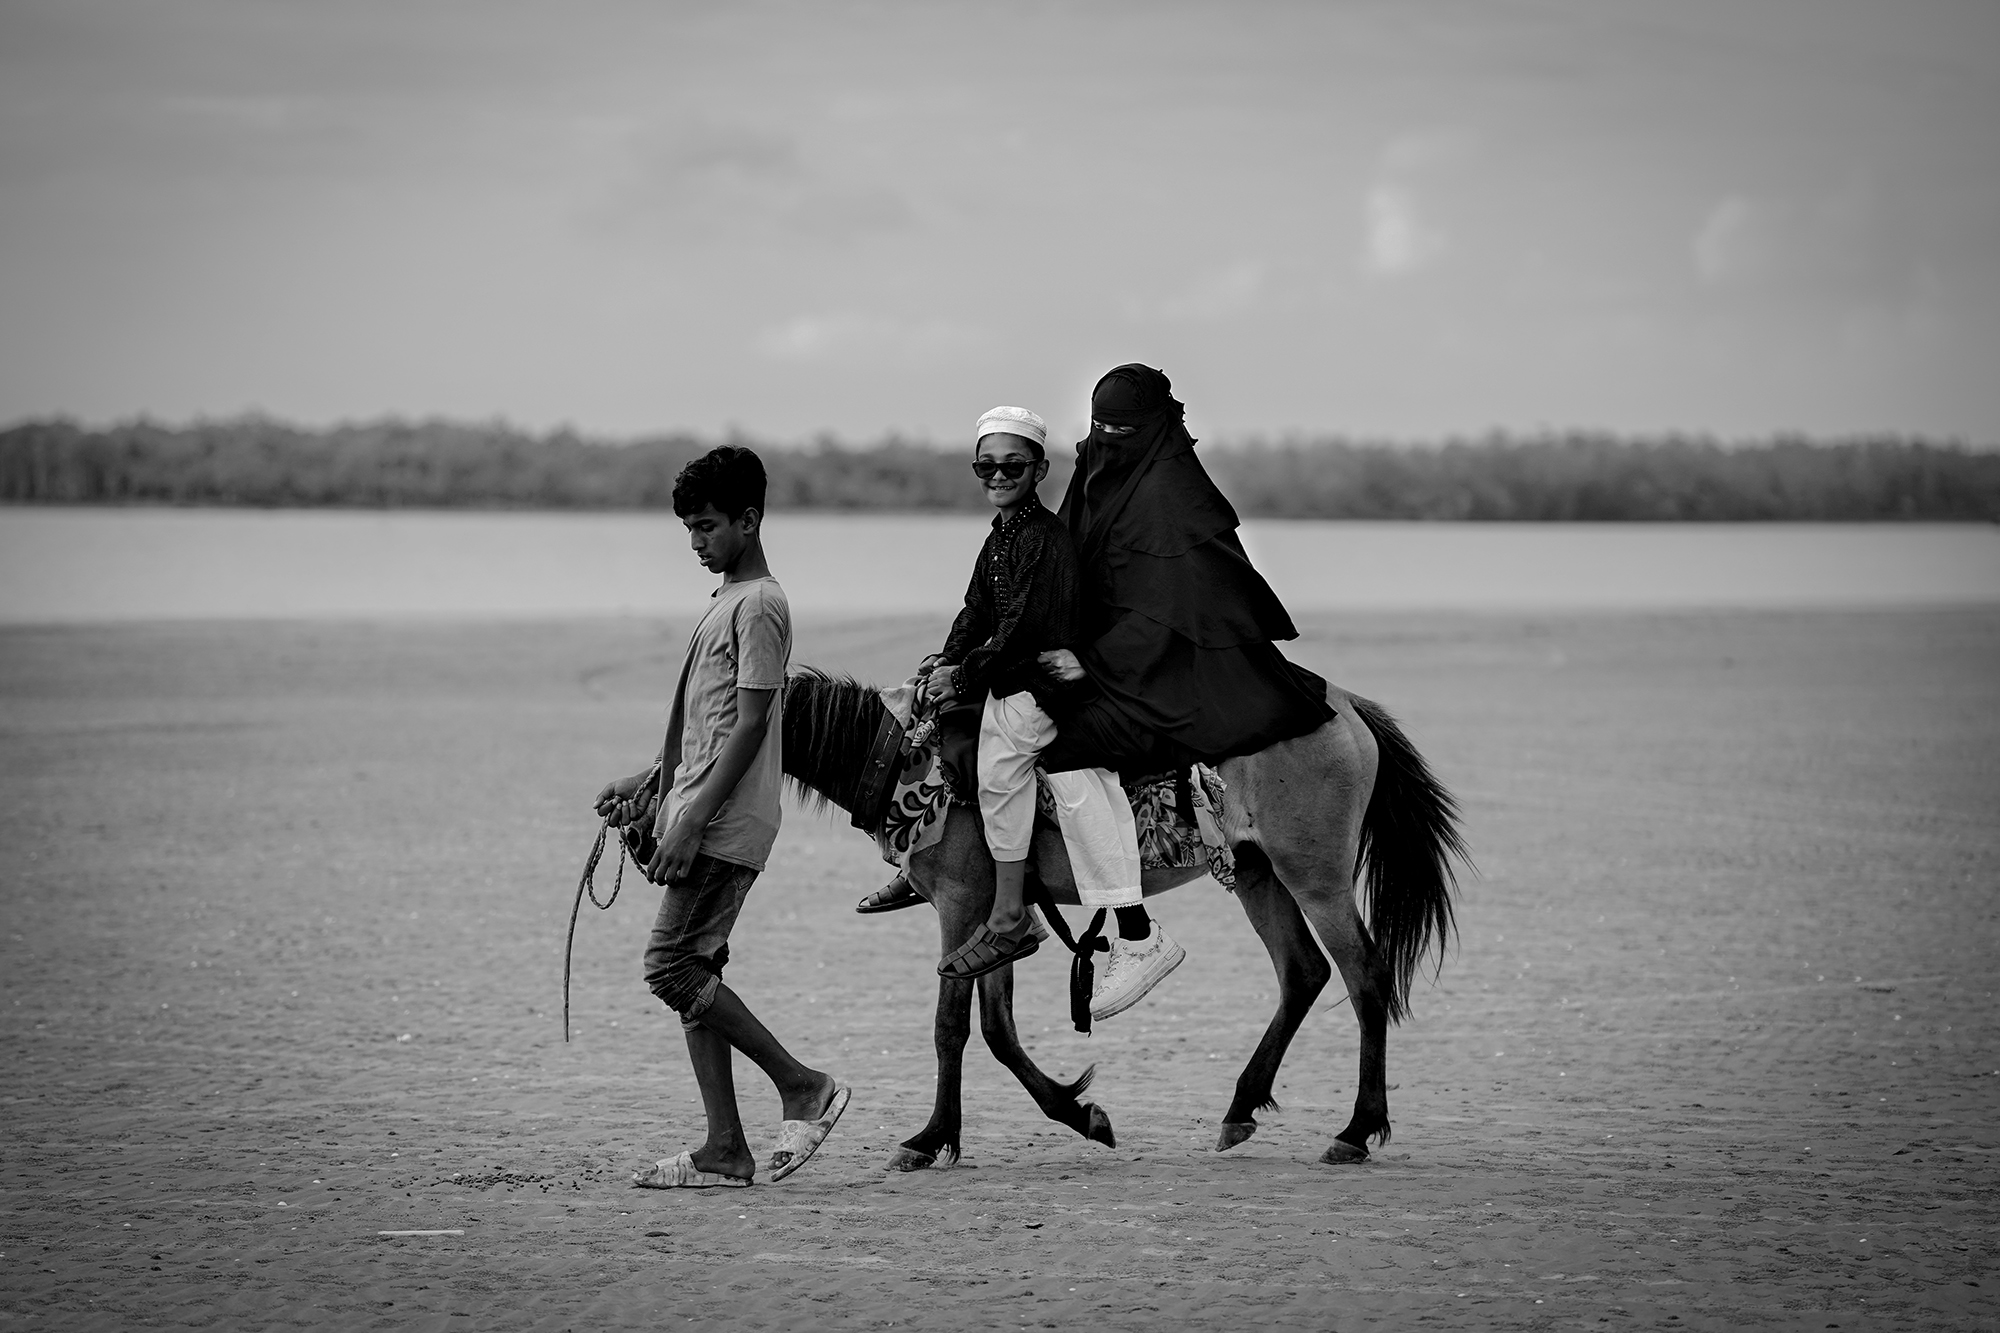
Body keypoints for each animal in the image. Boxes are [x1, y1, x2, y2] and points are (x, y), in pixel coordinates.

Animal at [780, 669, 1467, 1169]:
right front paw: (1079, 1113)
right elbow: (998, 1030)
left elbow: (951, 1028)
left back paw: (1356, 1129)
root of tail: (1346, 704)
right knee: (1303, 974)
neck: (906, 760)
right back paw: (1241, 1109)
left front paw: (928, 1139)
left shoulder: (959, 904)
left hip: (1314, 876)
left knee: (1365, 975)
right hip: (1257, 872)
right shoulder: (994, 923)